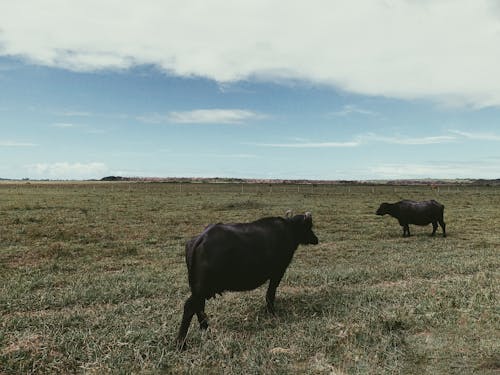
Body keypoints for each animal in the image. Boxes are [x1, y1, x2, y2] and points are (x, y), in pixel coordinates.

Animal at [176, 213, 318, 352]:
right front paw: (272, 312)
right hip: (201, 289)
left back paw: (205, 328)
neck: (289, 229)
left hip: (199, 289)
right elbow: (270, 294)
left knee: (199, 307)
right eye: (308, 226)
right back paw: (181, 344)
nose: (316, 239)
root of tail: (201, 238)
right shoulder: (278, 272)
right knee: (190, 307)